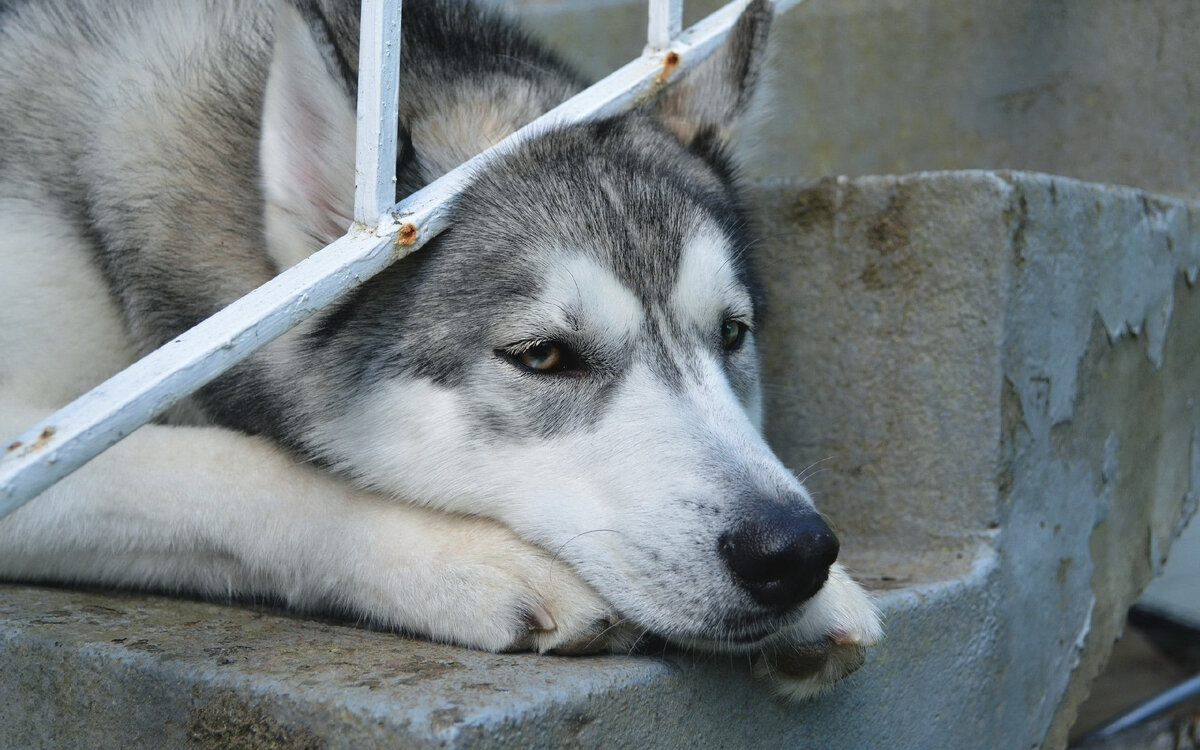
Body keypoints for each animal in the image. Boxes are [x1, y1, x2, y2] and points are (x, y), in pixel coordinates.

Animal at [0, 0, 883, 696]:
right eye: (543, 356)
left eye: (730, 334)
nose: (795, 552)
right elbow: (230, 467)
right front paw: (469, 554)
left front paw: (828, 595)